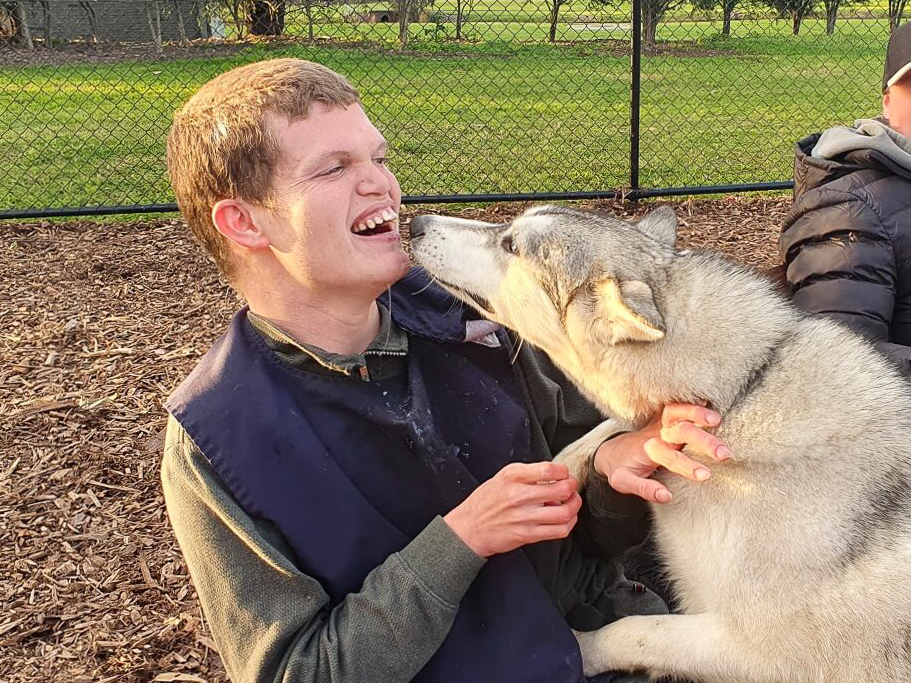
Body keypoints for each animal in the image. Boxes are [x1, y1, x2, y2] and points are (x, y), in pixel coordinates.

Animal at [410, 206, 911, 683]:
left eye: (511, 244)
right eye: (509, 231)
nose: (415, 223)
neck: (739, 396)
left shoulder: (757, 652)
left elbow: (633, 631)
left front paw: (578, 649)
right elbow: (604, 432)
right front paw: (549, 476)